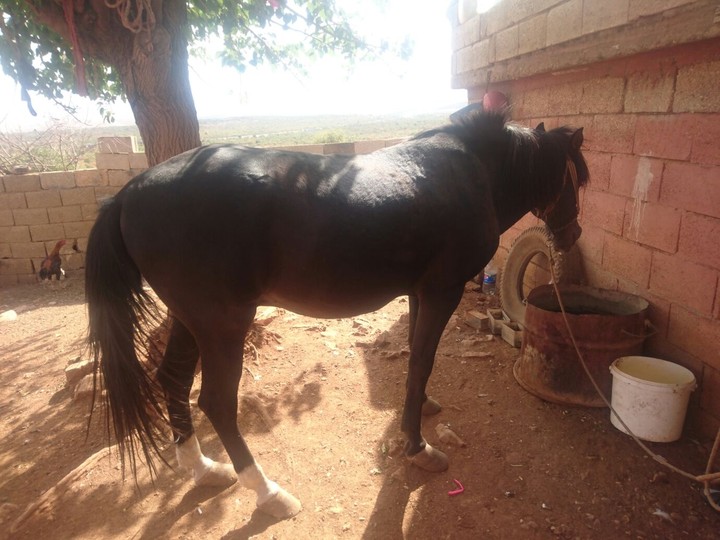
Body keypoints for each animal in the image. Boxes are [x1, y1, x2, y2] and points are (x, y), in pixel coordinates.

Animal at [85, 105, 589, 519]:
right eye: (578, 179)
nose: (570, 237)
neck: (472, 173)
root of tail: (127, 194)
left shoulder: (419, 292)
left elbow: (415, 356)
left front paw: (422, 407)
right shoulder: (441, 291)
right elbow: (422, 360)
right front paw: (417, 446)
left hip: (190, 321)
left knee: (171, 379)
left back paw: (204, 468)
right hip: (222, 324)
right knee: (217, 403)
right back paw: (268, 492)